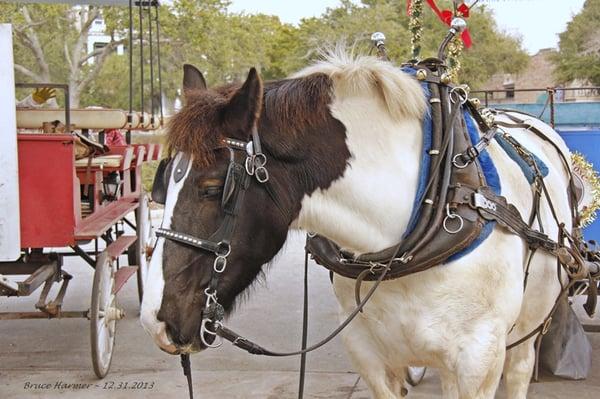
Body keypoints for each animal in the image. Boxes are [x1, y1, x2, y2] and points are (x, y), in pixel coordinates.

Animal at [139, 51, 584, 398]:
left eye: (213, 188)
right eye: (161, 184)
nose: (155, 321)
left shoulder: (478, 359)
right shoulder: (369, 354)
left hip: (527, 329)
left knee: (521, 369)